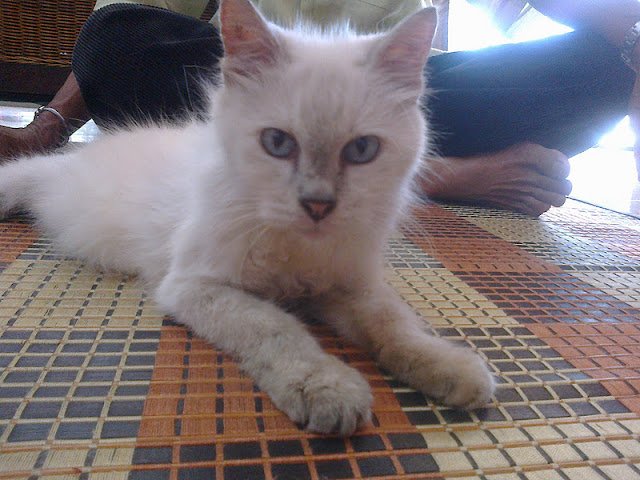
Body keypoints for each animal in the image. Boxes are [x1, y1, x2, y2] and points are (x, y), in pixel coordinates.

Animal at [0, 0, 494, 435]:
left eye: (362, 150)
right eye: (277, 143)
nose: (318, 205)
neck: (298, 247)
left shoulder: (349, 287)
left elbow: (394, 324)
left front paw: (448, 365)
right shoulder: (196, 286)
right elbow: (278, 329)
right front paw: (325, 386)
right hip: (51, 181)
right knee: (28, 170)